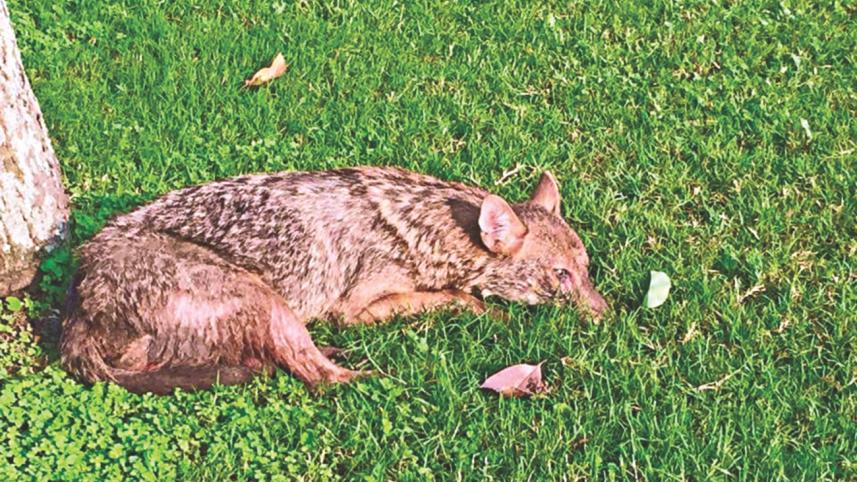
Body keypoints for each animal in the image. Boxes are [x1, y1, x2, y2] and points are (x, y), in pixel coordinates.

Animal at [60, 167, 607, 394]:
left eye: (585, 270)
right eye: (560, 276)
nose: (609, 316)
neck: (426, 226)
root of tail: (80, 299)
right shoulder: (354, 309)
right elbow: (453, 297)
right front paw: (490, 312)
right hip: (263, 297)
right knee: (318, 377)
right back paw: (377, 376)